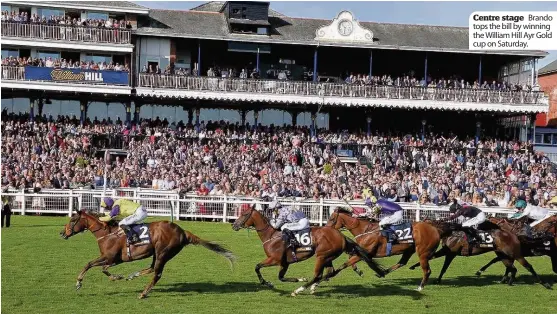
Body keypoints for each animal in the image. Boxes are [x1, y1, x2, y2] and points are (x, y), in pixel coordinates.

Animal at [60, 210, 235, 298]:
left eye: (72, 220)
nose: (62, 233)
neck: (107, 233)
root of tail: (183, 232)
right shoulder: (115, 259)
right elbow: (104, 269)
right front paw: (117, 276)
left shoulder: (108, 257)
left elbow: (88, 264)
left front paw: (78, 283)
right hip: (157, 253)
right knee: (151, 268)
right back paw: (133, 275)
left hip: (163, 252)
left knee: (157, 273)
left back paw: (143, 293)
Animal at [229, 207, 382, 296]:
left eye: (244, 214)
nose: (234, 225)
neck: (271, 236)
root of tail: (341, 236)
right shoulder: (284, 263)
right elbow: (281, 277)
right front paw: (297, 279)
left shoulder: (274, 259)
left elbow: (257, 267)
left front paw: (267, 283)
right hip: (327, 256)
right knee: (329, 272)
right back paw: (312, 287)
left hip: (321, 256)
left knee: (317, 275)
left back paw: (299, 290)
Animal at [324, 209, 454, 292]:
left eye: (332, 218)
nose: (325, 229)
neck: (366, 230)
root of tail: (435, 228)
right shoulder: (361, 252)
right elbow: (350, 261)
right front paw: (359, 271)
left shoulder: (365, 253)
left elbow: (345, 263)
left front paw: (329, 275)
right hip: (409, 249)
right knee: (402, 262)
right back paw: (382, 273)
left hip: (422, 253)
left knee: (427, 271)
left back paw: (420, 287)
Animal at [408, 218, 552, 290]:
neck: (451, 233)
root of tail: (513, 235)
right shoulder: (447, 252)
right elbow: (436, 261)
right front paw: (415, 267)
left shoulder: (450, 253)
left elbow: (440, 264)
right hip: (503, 255)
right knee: (513, 268)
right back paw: (509, 282)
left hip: (515, 254)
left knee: (528, 267)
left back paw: (545, 284)